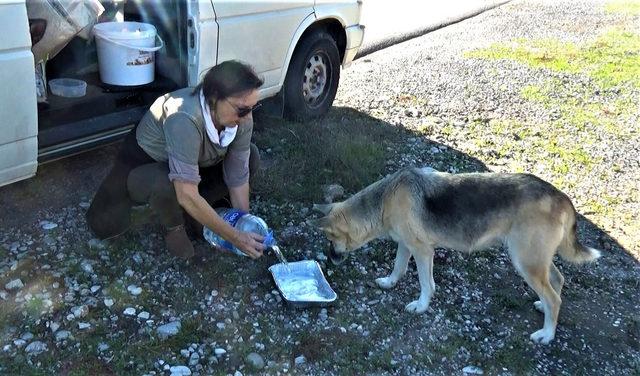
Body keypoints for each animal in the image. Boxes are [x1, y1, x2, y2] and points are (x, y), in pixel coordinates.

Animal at [308, 167, 600, 344]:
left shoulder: (423, 251)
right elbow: (398, 267)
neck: (384, 200)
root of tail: (561, 197)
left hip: (525, 260)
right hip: (537, 259)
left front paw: (421, 306)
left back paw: (547, 334)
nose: (329, 260)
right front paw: (390, 283)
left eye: (330, 240)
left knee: (554, 298)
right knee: (558, 282)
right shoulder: (406, 245)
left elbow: (426, 284)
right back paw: (544, 309)